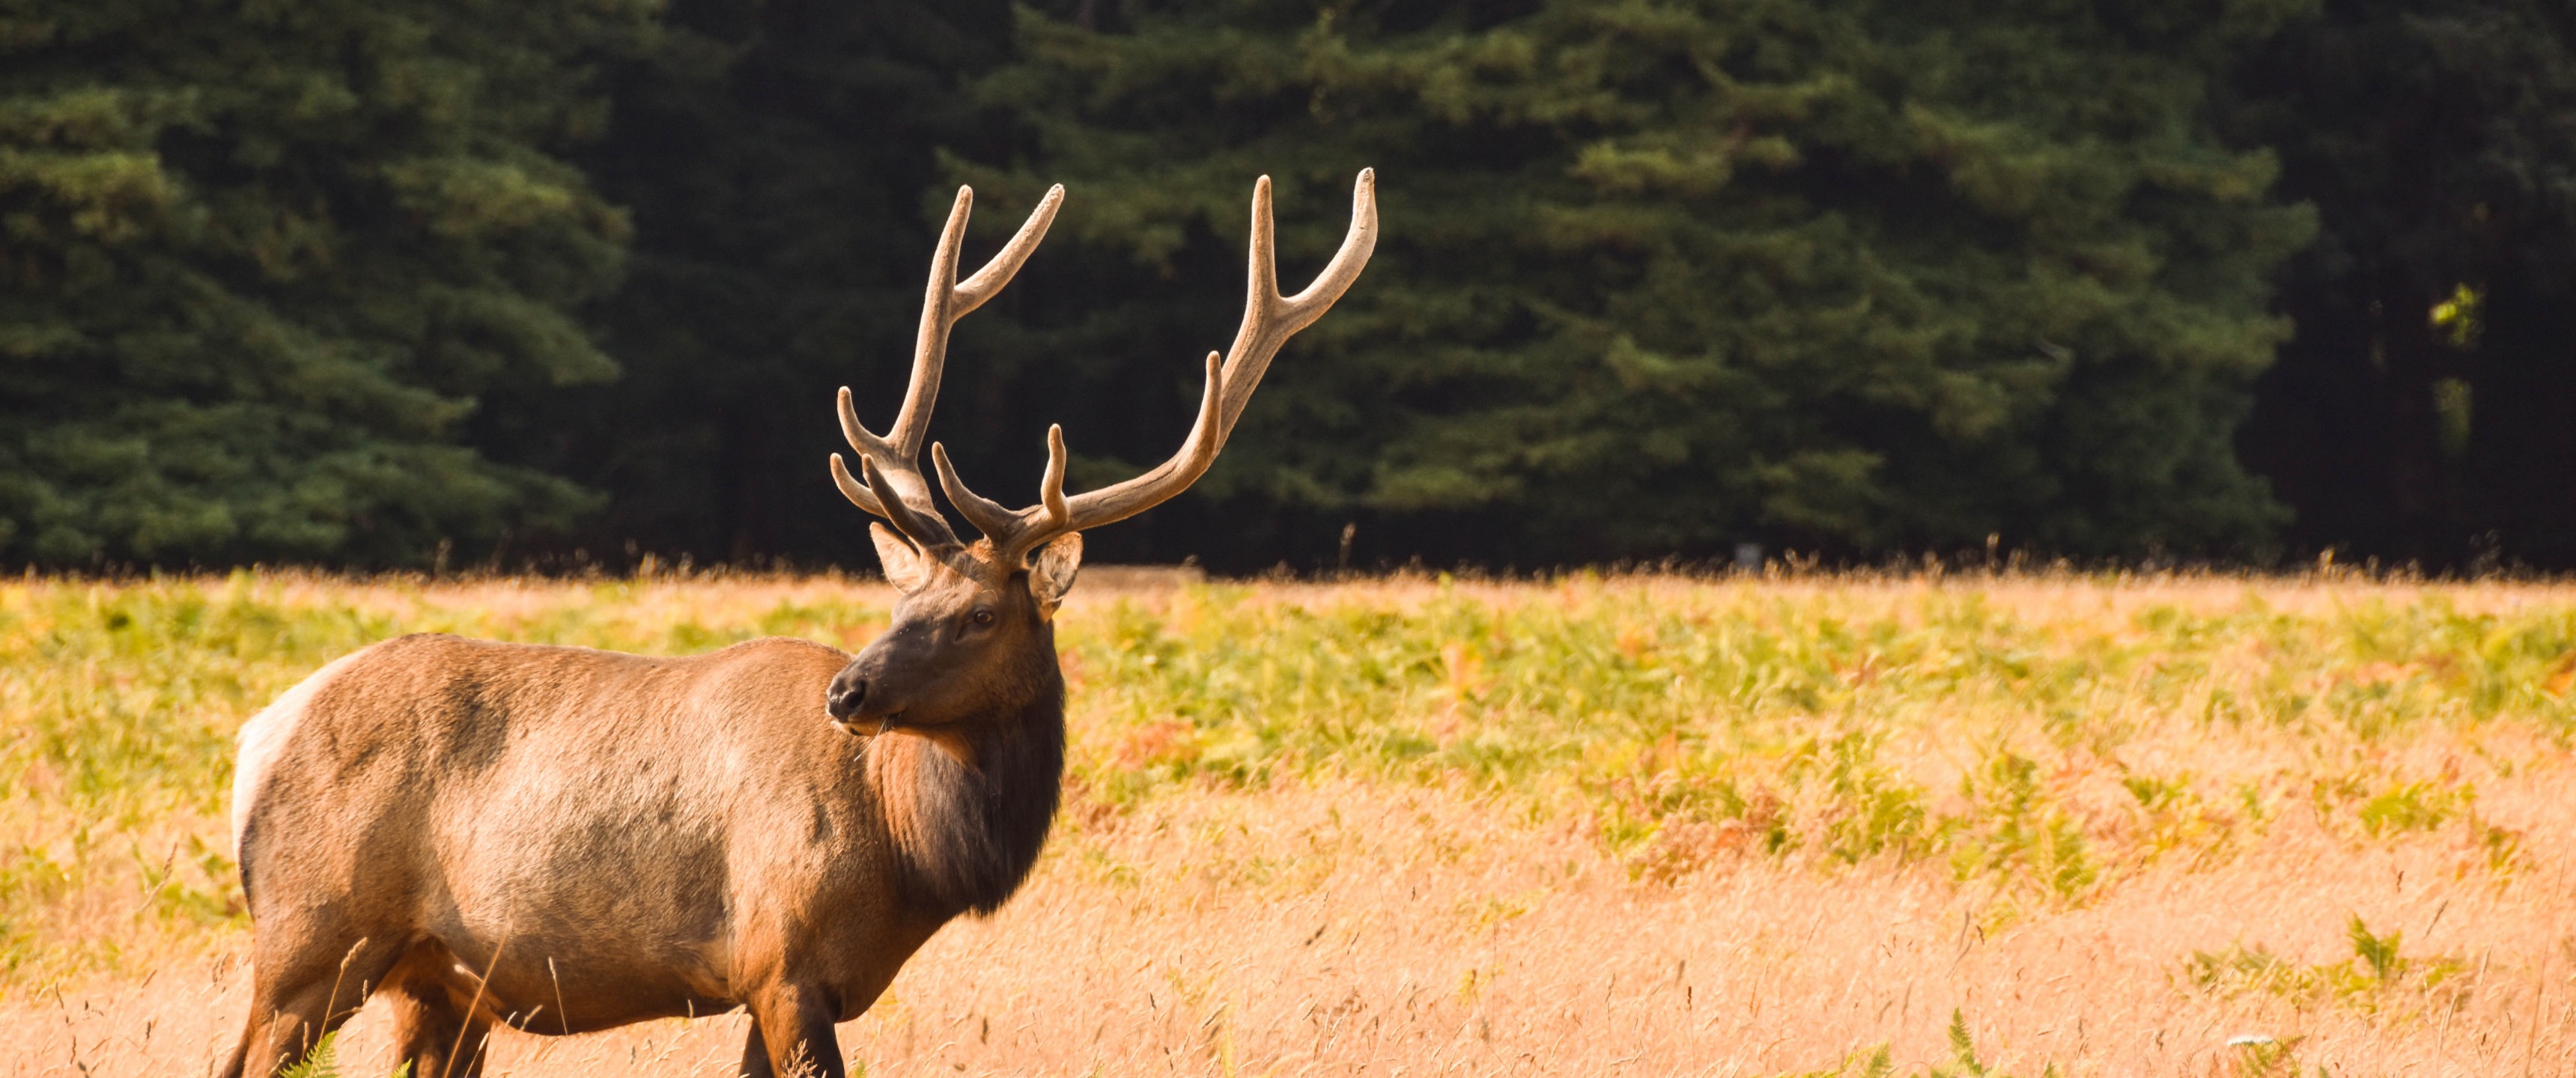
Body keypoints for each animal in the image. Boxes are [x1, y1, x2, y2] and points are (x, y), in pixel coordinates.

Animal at [218, 169, 1376, 1078]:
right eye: (906, 599)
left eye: (977, 613)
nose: (848, 692)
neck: (908, 853)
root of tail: (258, 735)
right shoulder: (779, 958)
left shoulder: (789, 984)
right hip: (312, 936)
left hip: (439, 982)